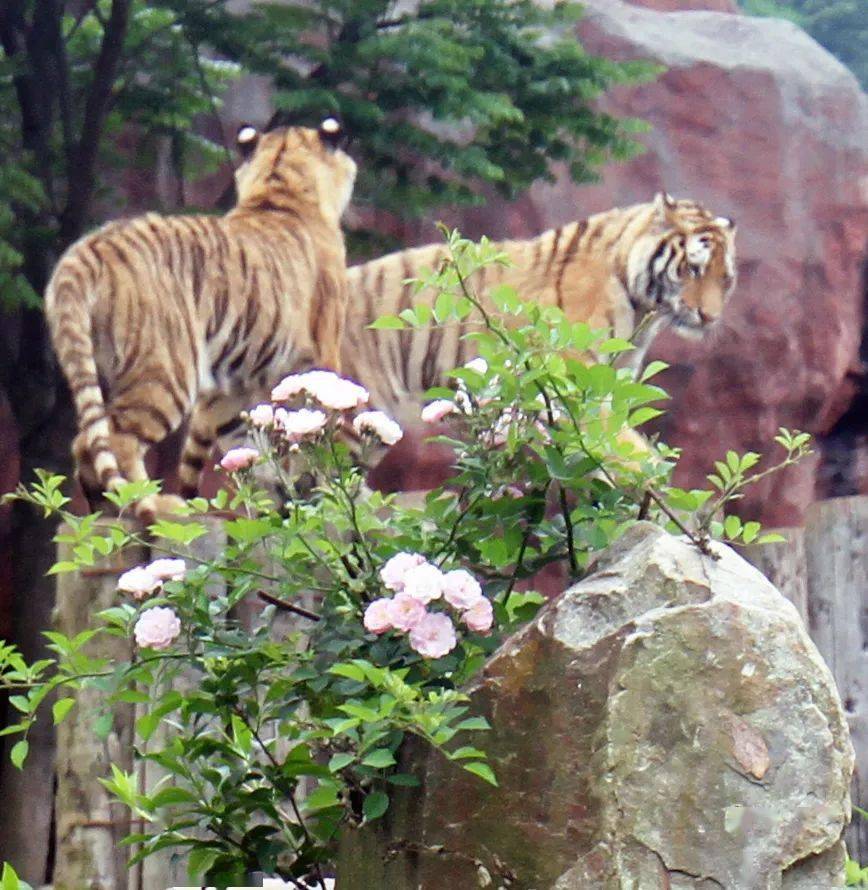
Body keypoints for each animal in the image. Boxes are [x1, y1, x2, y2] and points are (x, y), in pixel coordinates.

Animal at [45, 119, 358, 520]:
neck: (279, 188)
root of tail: (89, 248)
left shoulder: (230, 384)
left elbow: (252, 446)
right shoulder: (322, 354)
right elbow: (318, 423)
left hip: (97, 366)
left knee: (86, 440)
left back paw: (106, 508)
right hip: (167, 371)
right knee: (116, 439)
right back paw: (153, 502)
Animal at [340, 192, 732, 426]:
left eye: (725, 279)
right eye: (693, 268)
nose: (710, 316)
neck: (642, 307)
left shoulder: (614, 377)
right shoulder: (577, 377)